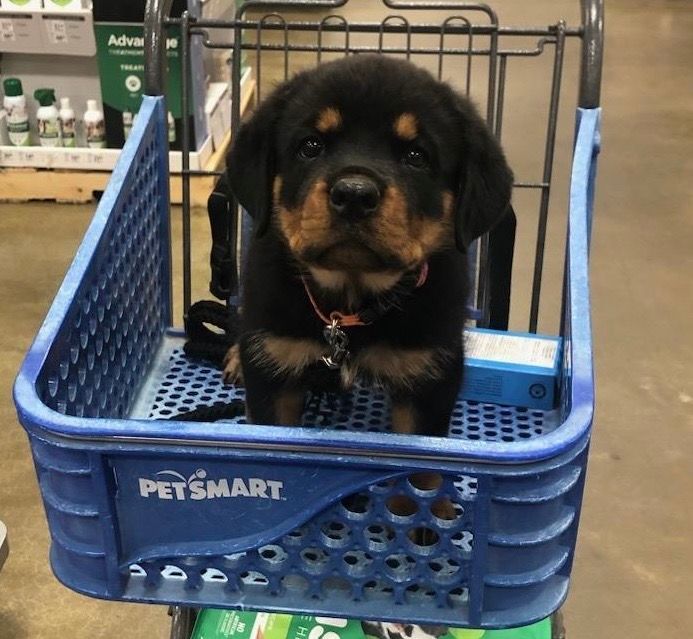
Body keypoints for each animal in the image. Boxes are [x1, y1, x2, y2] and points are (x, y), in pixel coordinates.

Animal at [224, 55, 510, 438]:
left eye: (417, 155)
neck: (349, 306)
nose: (354, 195)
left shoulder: (429, 375)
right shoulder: (274, 363)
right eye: (310, 146)